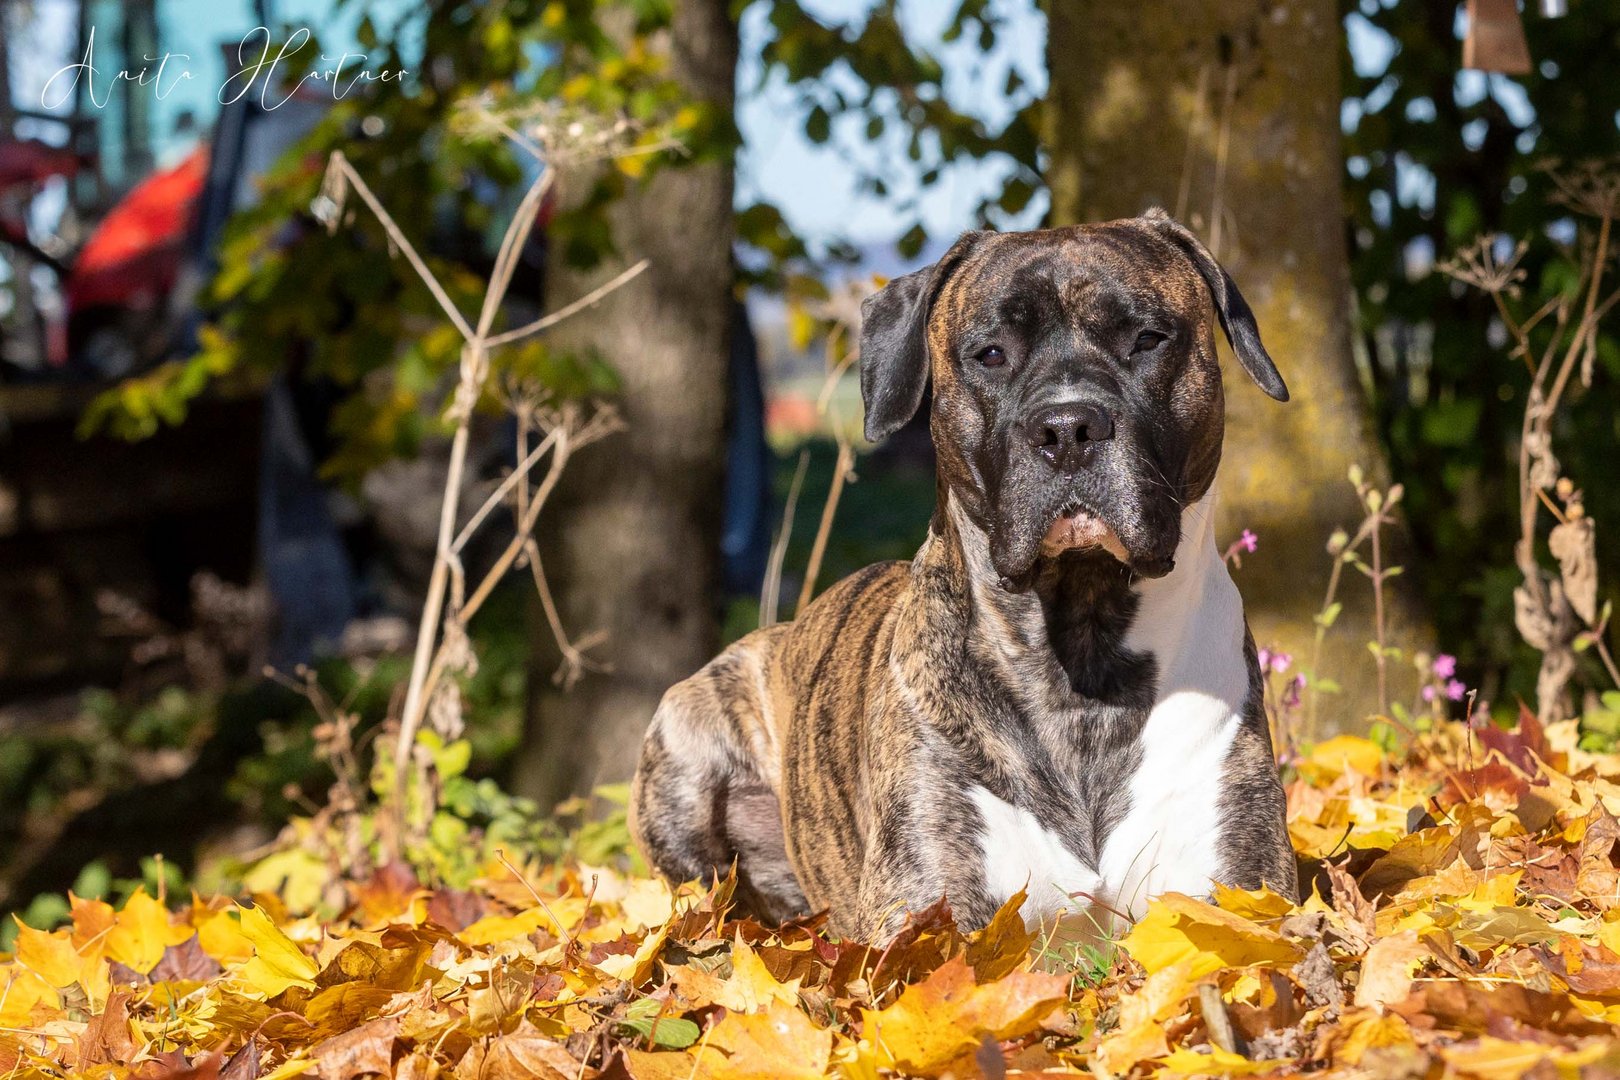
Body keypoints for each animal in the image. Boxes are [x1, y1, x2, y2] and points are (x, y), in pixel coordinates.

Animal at [625, 208, 1296, 939]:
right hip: (686, 744)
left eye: (1147, 339)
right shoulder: (920, 909)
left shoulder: (1240, 896)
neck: (1082, 642)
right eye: (991, 353)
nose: (1068, 426)